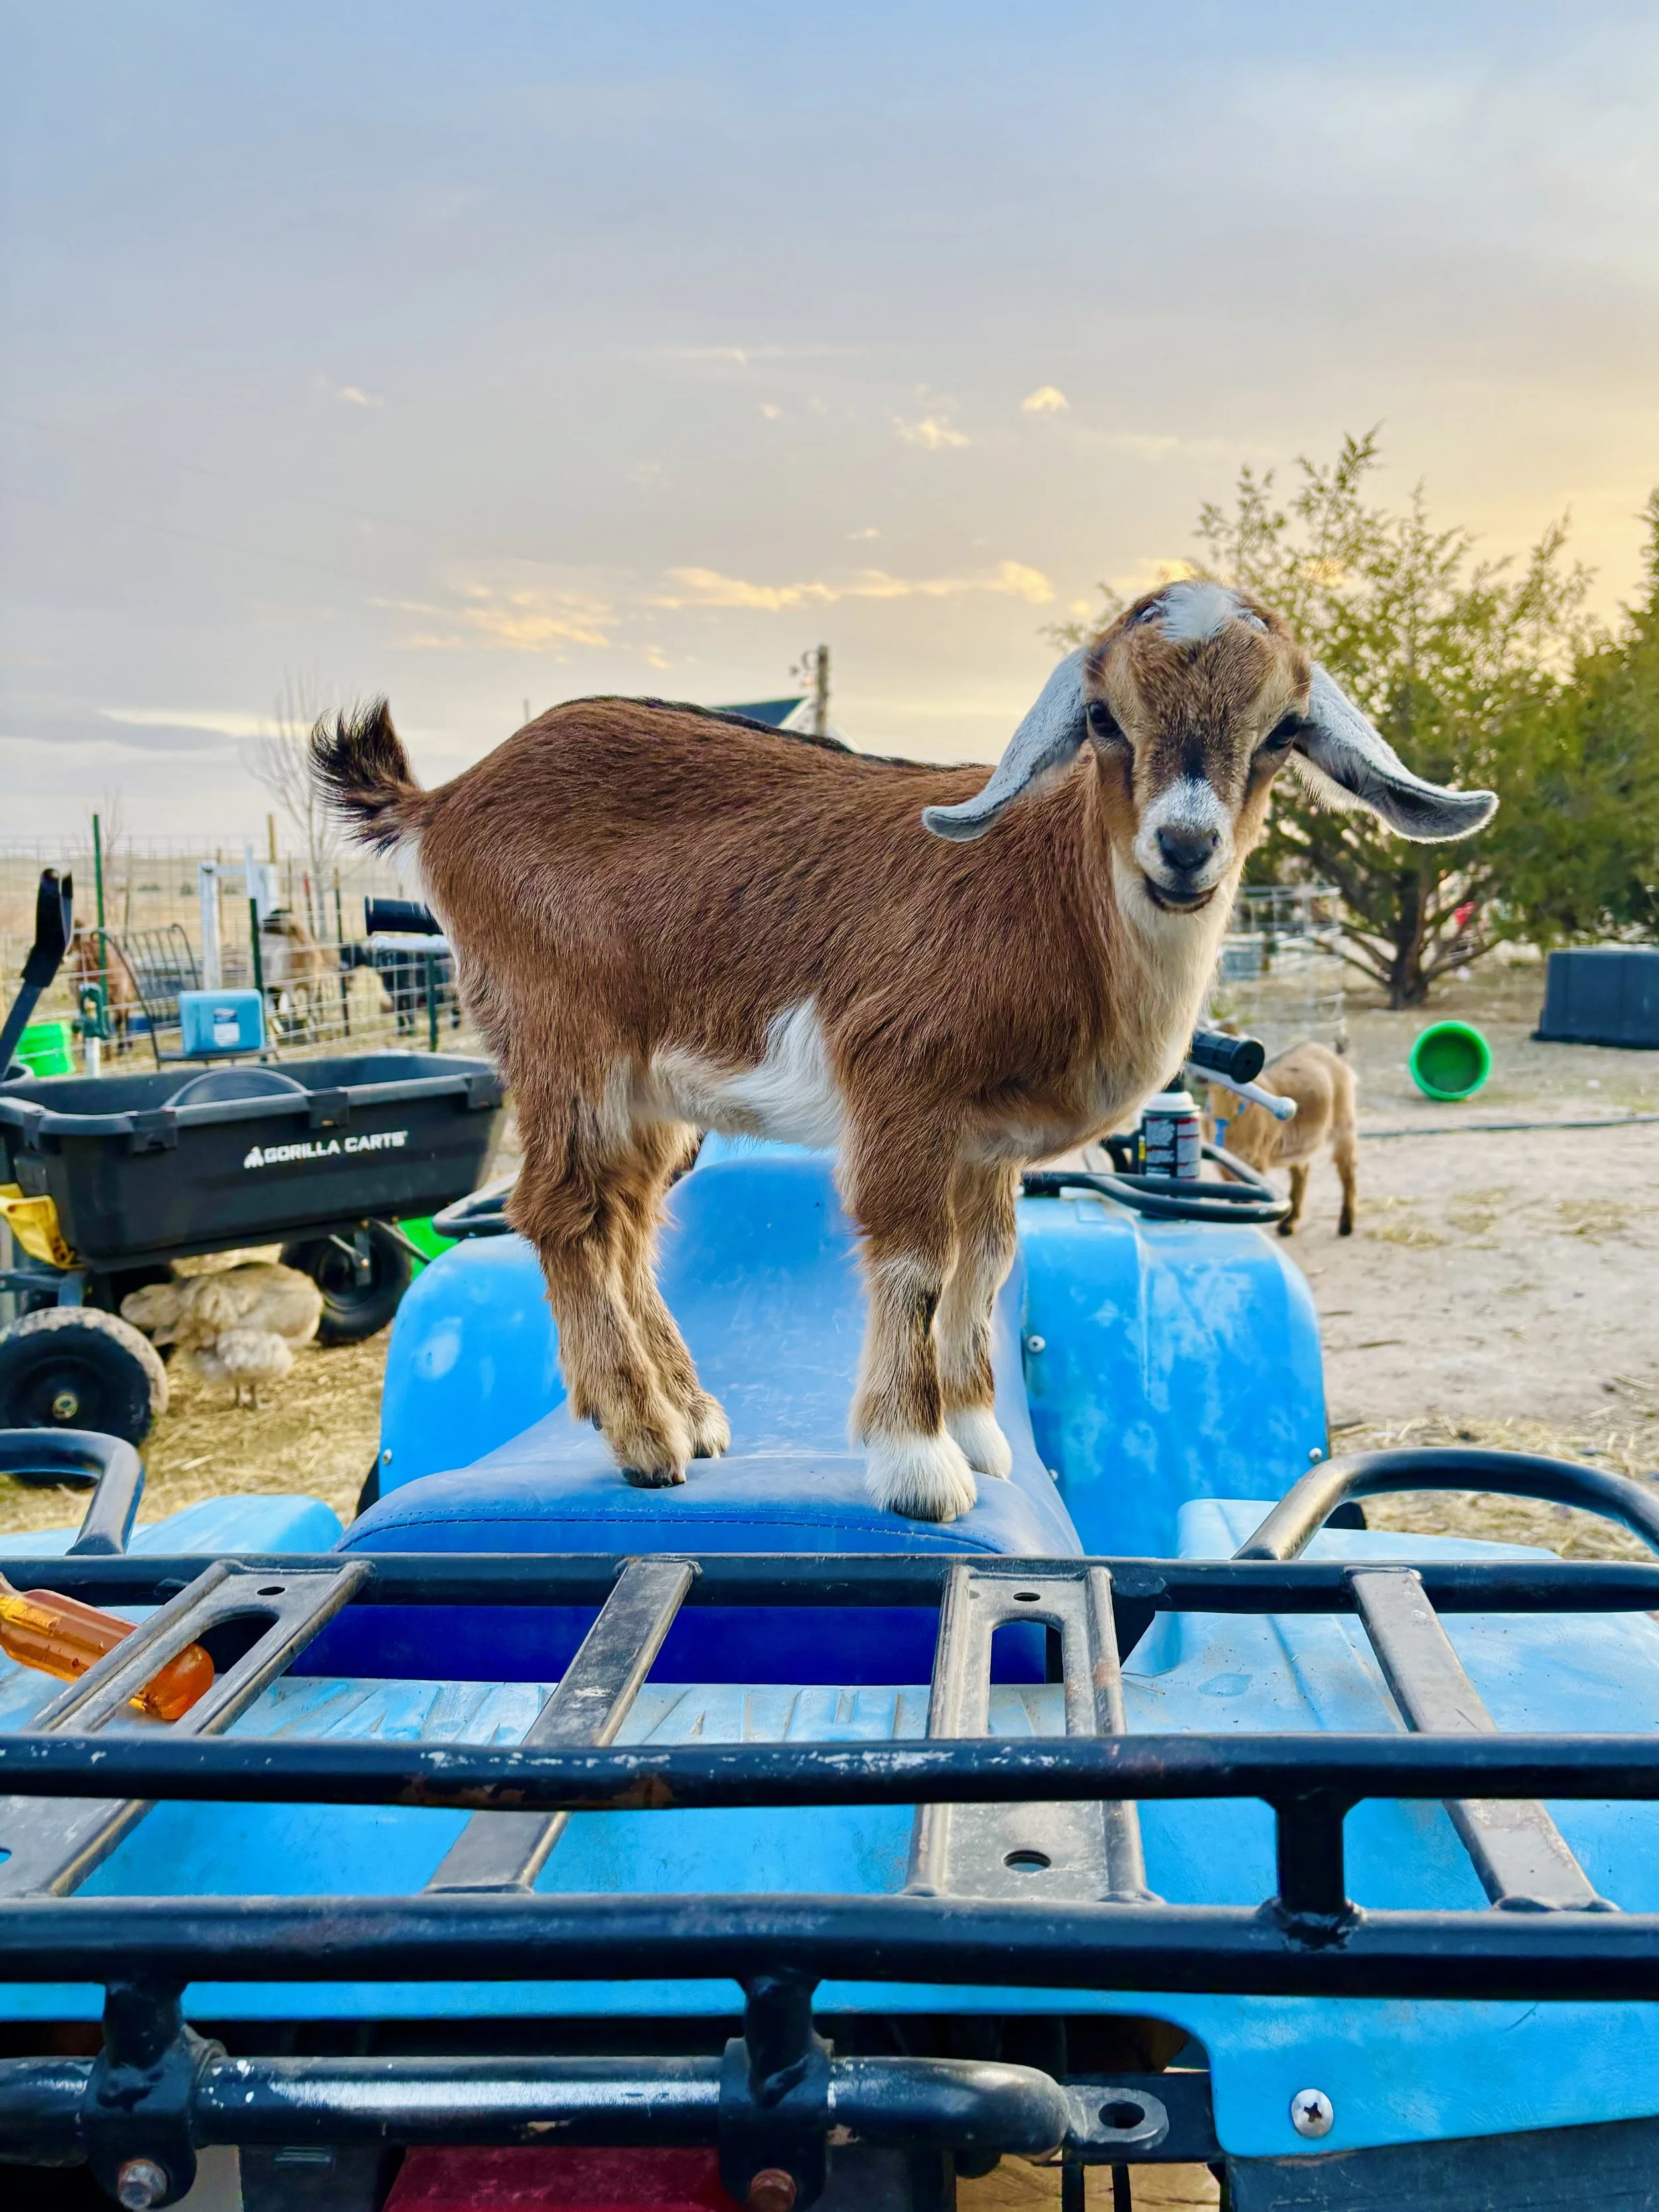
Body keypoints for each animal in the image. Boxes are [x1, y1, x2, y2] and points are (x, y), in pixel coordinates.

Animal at [1209, 1038, 1358, 1237]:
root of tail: (1334, 1054)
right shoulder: (1225, 1165)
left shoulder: (1257, 1160)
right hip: (1298, 1144)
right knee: (1302, 1171)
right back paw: (1288, 1223)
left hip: (1344, 1124)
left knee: (1347, 1170)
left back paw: (1346, 1225)